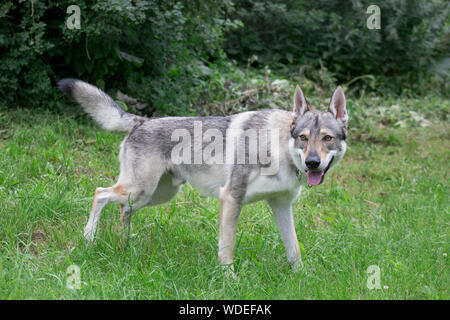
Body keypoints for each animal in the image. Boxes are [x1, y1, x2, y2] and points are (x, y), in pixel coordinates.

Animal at [59, 79, 348, 270]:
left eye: (327, 138)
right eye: (303, 138)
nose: (312, 163)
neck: (279, 148)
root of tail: (141, 121)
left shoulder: (281, 206)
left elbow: (294, 249)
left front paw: (302, 276)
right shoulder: (230, 198)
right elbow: (227, 247)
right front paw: (229, 280)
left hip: (154, 196)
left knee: (122, 209)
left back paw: (125, 243)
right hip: (141, 191)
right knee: (100, 194)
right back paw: (89, 239)